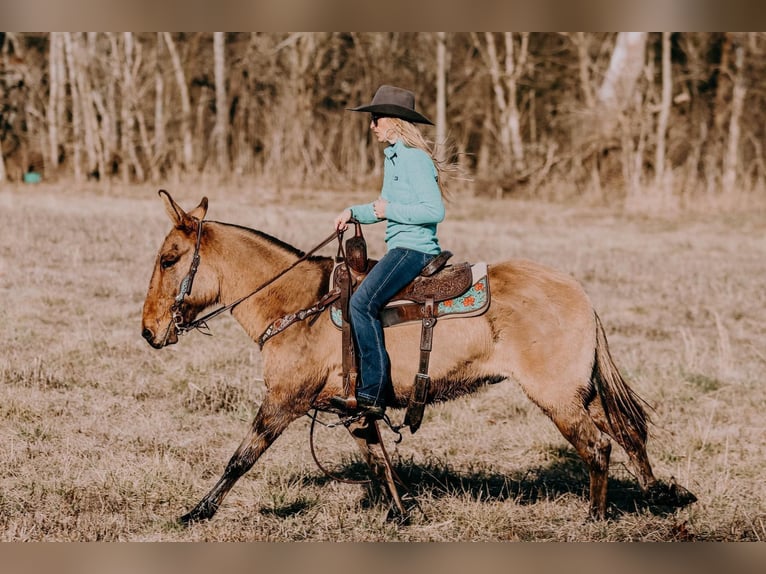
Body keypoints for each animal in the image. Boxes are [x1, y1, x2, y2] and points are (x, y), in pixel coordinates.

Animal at [141, 192, 700, 528]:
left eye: (169, 259)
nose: (149, 331)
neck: (299, 304)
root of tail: (581, 295)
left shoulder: (283, 400)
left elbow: (241, 456)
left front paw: (197, 512)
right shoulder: (355, 410)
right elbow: (379, 461)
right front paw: (401, 513)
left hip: (558, 397)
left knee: (598, 446)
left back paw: (595, 518)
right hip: (581, 390)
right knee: (627, 434)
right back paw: (659, 494)